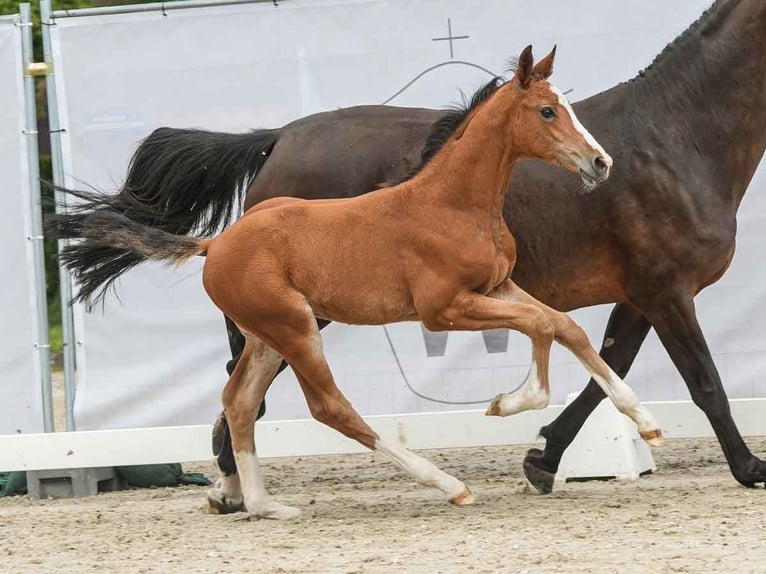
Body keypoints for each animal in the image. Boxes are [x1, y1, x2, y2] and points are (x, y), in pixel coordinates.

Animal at [55, 47, 664, 520]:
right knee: (329, 407)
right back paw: (447, 485)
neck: (452, 204)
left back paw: (265, 504)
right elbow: (542, 326)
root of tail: (216, 244)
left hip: (266, 337)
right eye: (546, 110)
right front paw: (507, 404)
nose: (600, 162)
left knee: (240, 401)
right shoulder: (445, 309)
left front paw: (646, 423)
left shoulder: (499, 289)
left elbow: (563, 327)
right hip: (297, 330)